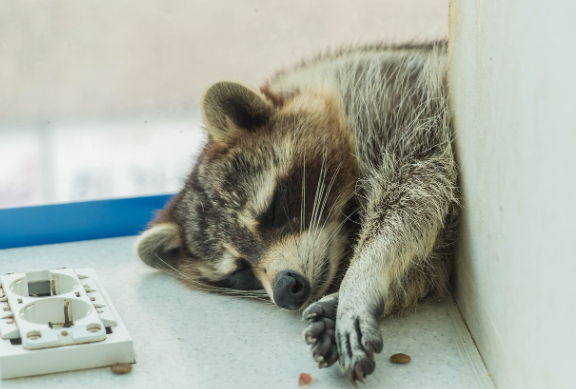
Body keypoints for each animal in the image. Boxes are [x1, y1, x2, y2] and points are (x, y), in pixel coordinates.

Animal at [135, 41, 460, 382]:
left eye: (274, 211)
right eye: (240, 270)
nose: (284, 290)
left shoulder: (402, 105)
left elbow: (416, 196)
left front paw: (361, 278)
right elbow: (425, 266)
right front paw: (345, 297)